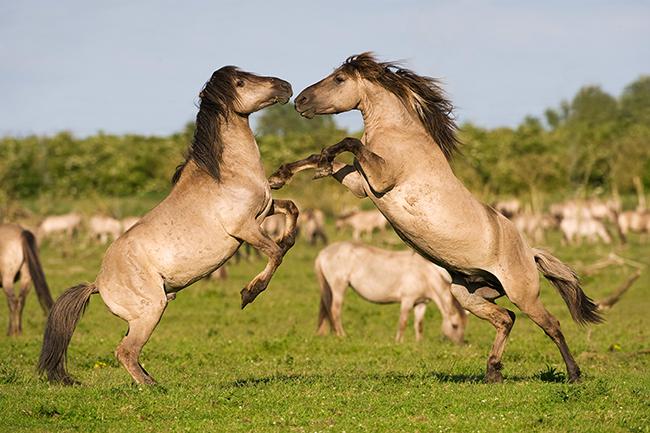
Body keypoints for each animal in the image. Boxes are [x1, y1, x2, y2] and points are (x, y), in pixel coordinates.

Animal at [41, 66, 300, 384]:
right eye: (241, 82)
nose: (285, 86)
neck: (227, 174)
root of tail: (98, 284)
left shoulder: (264, 211)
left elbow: (292, 211)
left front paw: (287, 239)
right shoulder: (244, 228)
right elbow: (275, 253)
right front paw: (249, 293)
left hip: (141, 317)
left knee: (129, 350)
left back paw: (152, 381)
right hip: (151, 311)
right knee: (125, 351)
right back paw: (152, 387)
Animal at [316, 241, 464, 342]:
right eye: (455, 326)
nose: (459, 344)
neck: (424, 274)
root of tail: (323, 253)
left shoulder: (421, 303)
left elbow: (419, 324)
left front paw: (419, 342)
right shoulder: (407, 300)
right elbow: (403, 322)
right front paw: (399, 341)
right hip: (339, 287)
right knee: (335, 311)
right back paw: (342, 335)